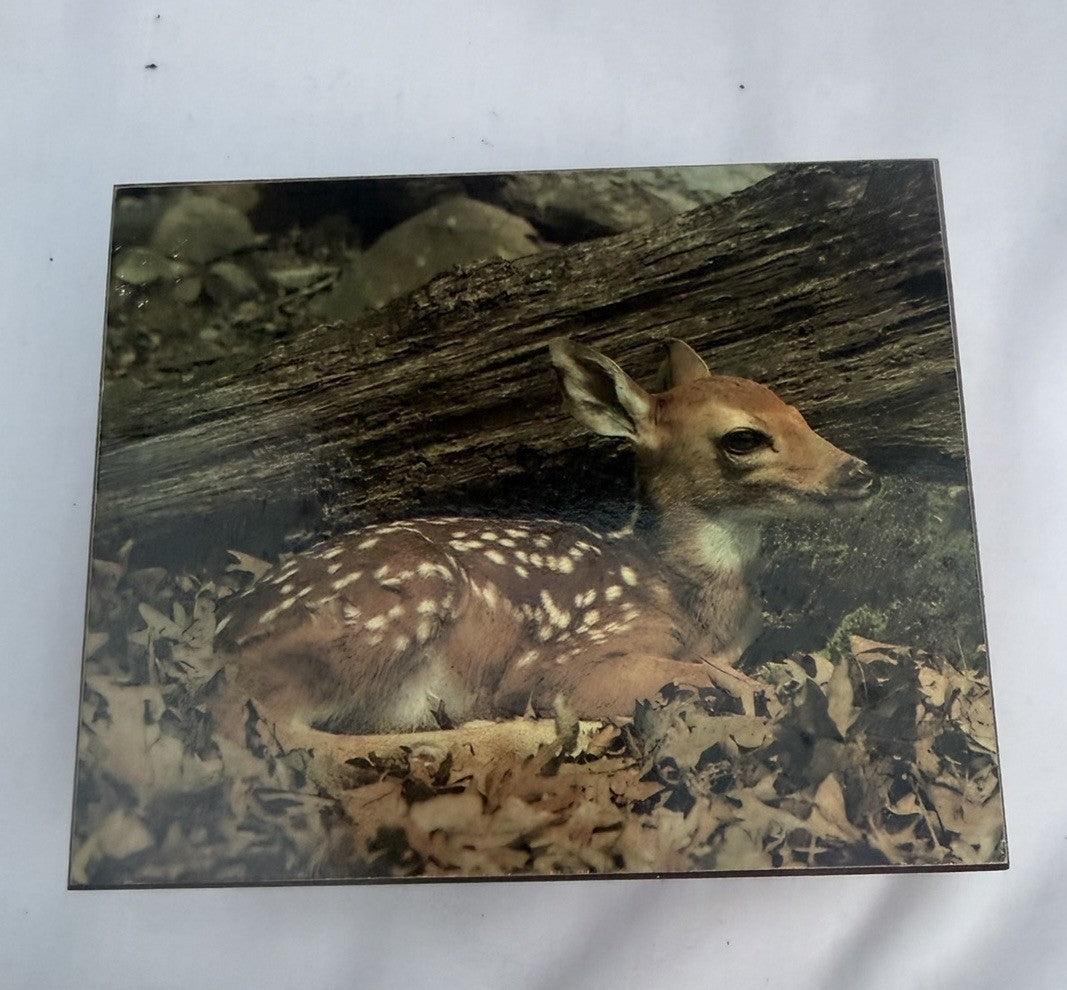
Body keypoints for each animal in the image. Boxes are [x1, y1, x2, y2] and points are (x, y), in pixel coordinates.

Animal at [216, 338, 878, 736]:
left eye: (799, 413)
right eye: (742, 438)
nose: (862, 473)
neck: (683, 598)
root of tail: (223, 633)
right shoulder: (561, 659)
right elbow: (698, 676)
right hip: (405, 599)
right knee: (274, 723)